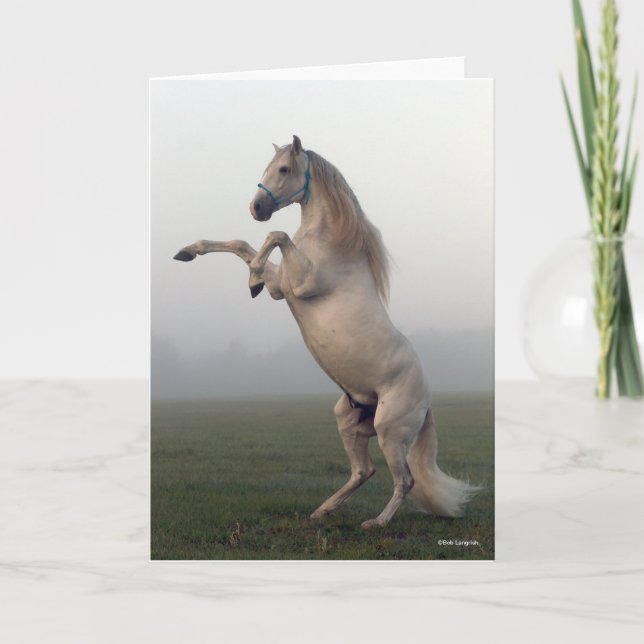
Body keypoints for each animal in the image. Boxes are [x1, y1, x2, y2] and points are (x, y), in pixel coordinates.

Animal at [174, 135, 479, 529]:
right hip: (349, 420)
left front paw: (252, 279)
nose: (256, 207)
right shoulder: (281, 285)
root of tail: (427, 403)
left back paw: (375, 523)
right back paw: (321, 511)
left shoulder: (296, 284)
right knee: (363, 471)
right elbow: (244, 244)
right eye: (267, 169)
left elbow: (275, 235)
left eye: (284, 169)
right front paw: (189, 252)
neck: (332, 246)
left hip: (390, 431)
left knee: (405, 480)